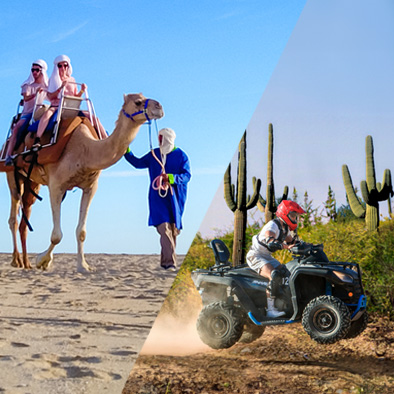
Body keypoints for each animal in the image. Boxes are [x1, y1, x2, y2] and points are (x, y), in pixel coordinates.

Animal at [0, 92, 163, 272]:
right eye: (138, 102)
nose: (159, 107)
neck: (85, 150)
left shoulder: (90, 187)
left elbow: (81, 232)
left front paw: (83, 266)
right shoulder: (56, 186)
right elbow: (57, 235)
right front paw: (43, 260)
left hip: (33, 182)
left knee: (25, 217)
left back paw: (26, 263)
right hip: (12, 175)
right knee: (14, 217)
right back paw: (16, 260)